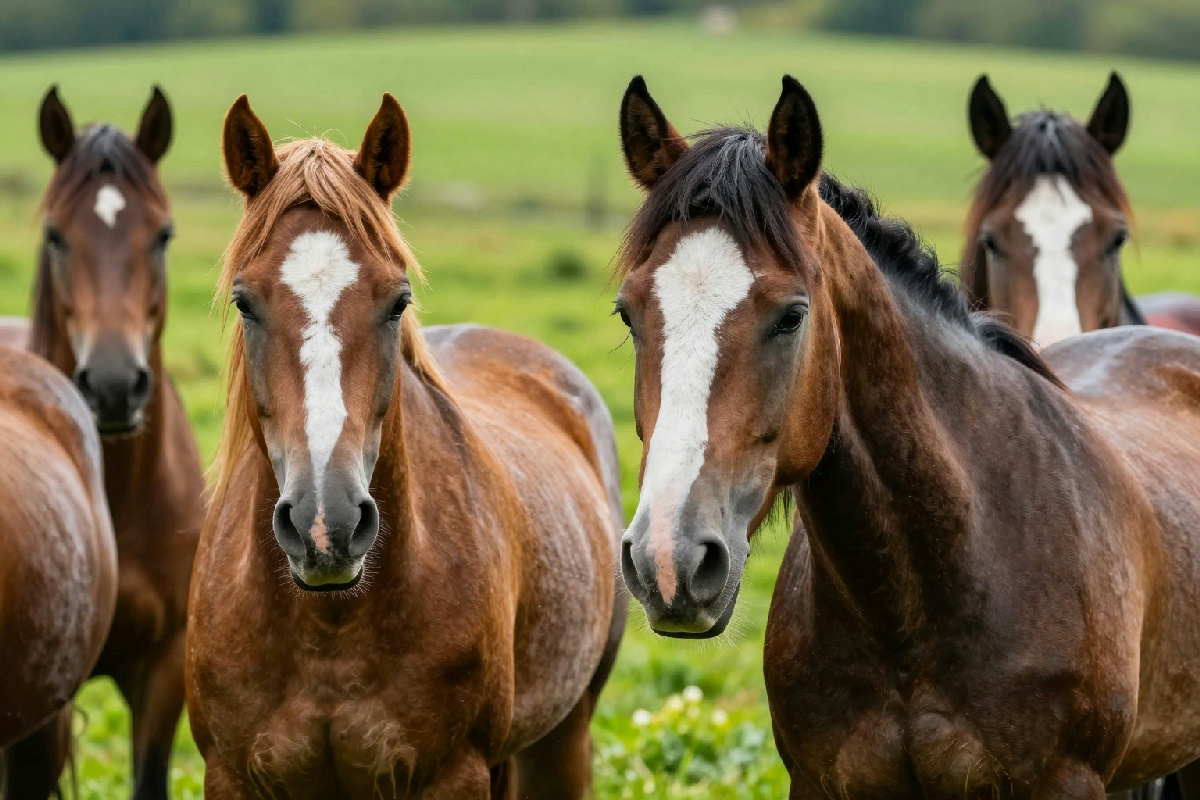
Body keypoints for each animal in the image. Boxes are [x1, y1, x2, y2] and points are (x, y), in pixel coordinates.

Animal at [185, 93, 625, 799]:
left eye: (397, 302)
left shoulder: (454, 774)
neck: (329, 626)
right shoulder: (229, 777)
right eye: (245, 302)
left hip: (564, 737)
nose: (327, 524)